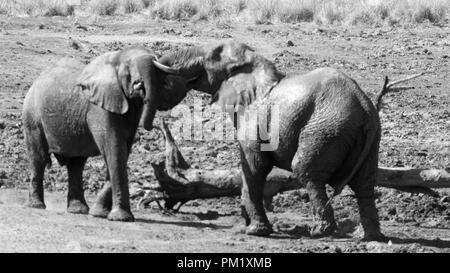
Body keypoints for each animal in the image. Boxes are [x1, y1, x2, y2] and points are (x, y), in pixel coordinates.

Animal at [20, 46, 180, 221]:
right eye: (127, 69)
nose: (139, 84)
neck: (115, 58)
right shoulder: (100, 107)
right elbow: (114, 149)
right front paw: (121, 218)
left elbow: (122, 151)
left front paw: (100, 214)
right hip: (32, 115)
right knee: (39, 159)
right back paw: (37, 206)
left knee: (76, 165)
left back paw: (79, 210)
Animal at [156, 40, 384, 240]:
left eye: (210, 57)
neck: (253, 63)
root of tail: (364, 107)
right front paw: (246, 227)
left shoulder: (254, 122)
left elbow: (255, 168)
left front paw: (254, 232)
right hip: (370, 139)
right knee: (364, 184)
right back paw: (370, 236)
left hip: (325, 130)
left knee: (306, 171)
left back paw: (320, 232)